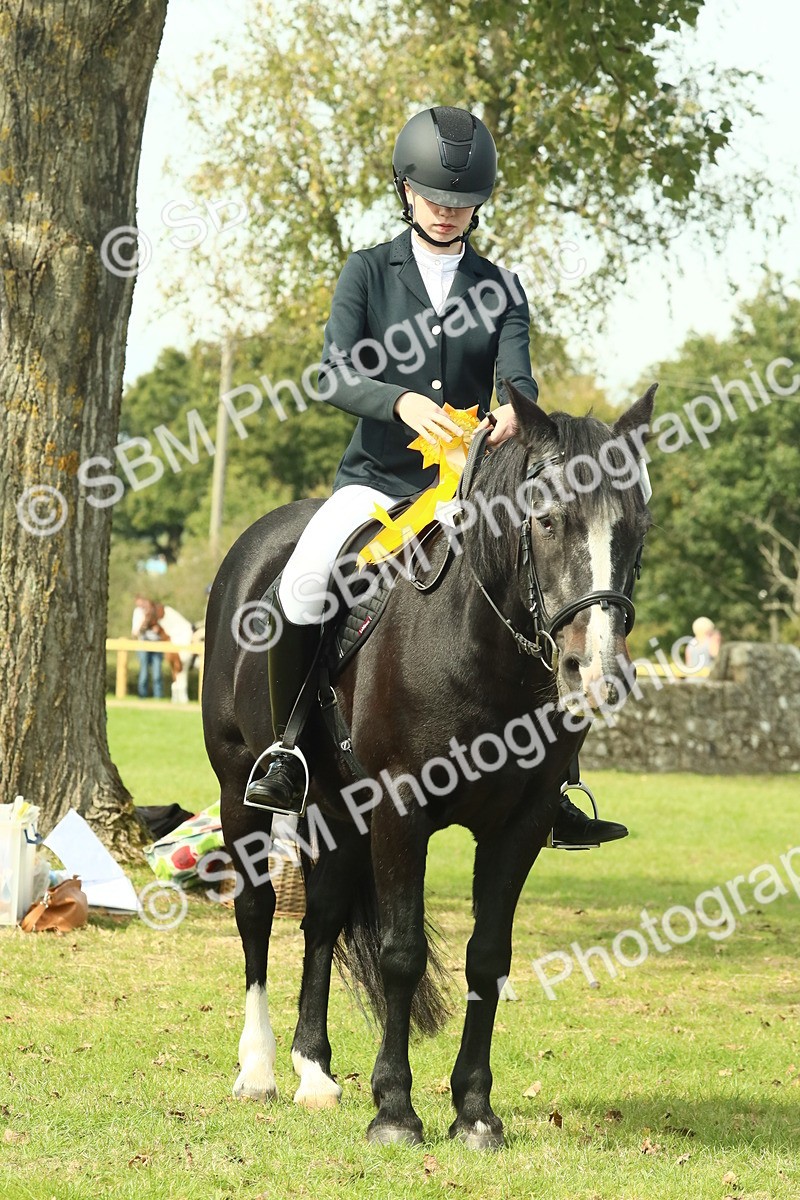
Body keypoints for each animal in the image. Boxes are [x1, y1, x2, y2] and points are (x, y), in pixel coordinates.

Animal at [201, 383, 656, 1149]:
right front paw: (394, 1110)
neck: (481, 648)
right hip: (242, 793)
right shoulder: (400, 809)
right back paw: (258, 1070)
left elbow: (488, 956)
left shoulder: (520, 823)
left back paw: (314, 1073)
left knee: (320, 921)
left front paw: (474, 1113)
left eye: (637, 529)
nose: (594, 671)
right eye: (546, 519)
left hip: (337, 810)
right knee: (257, 911)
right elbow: (401, 952)